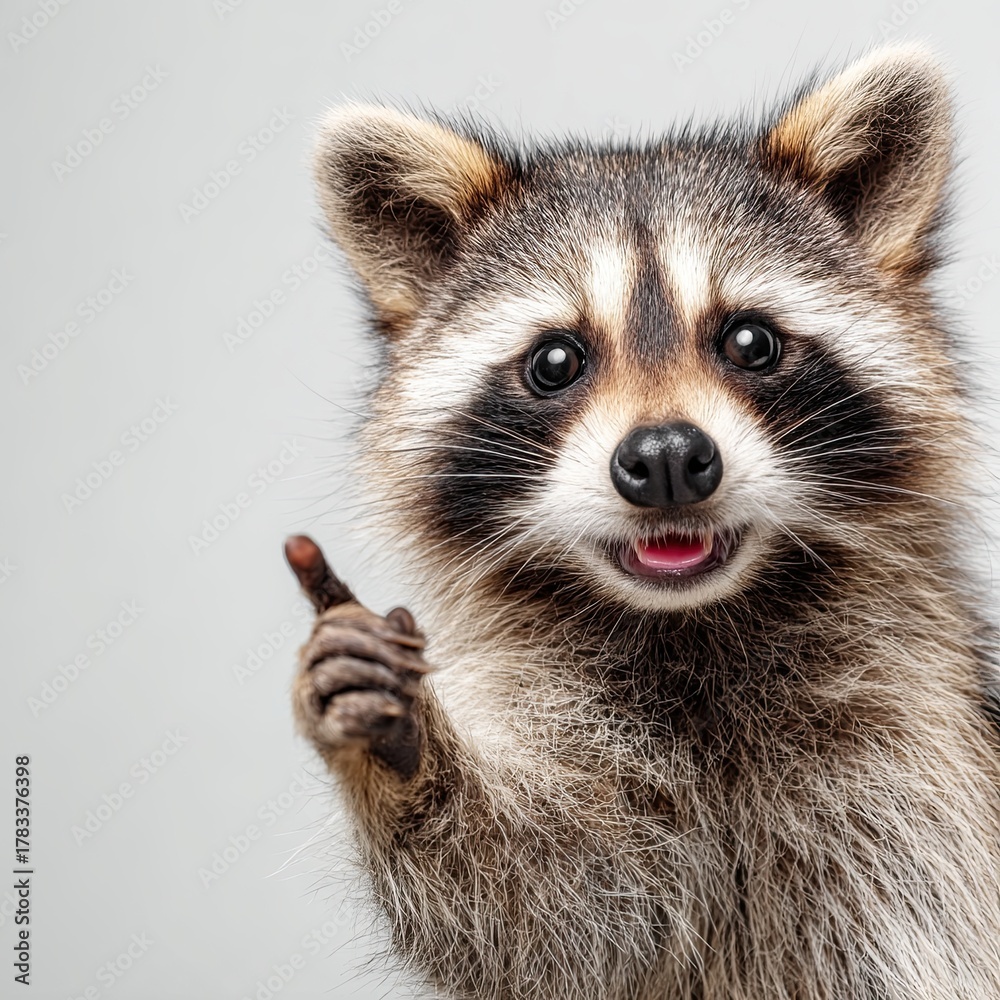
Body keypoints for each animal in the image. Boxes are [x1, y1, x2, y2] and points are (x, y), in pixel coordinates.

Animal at [285, 43, 1000, 1000]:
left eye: (750, 342)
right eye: (555, 361)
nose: (665, 458)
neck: (693, 627)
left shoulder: (913, 754)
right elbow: (538, 905)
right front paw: (402, 750)